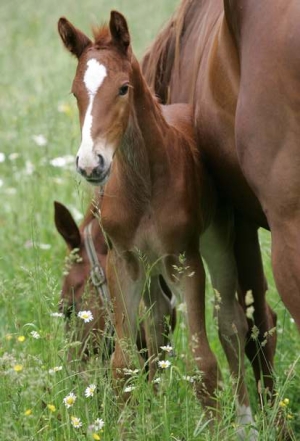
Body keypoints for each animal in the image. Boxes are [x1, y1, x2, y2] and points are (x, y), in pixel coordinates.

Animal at [57, 10, 264, 434]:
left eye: (123, 88)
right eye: (75, 93)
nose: (90, 164)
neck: (143, 185)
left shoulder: (184, 260)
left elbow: (204, 363)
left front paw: (214, 430)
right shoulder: (124, 262)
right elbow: (124, 364)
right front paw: (129, 427)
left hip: (216, 241)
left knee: (231, 324)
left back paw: (245, 424)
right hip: (150, 270)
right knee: (156, 327)